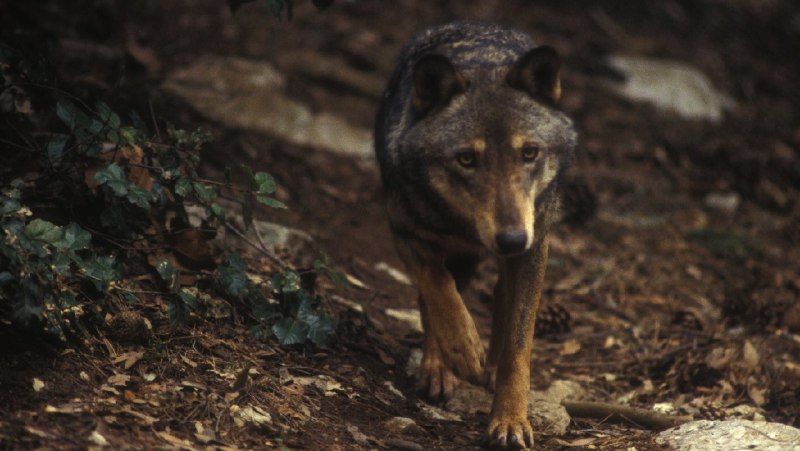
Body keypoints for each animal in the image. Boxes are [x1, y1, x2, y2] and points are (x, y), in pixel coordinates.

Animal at [374, 21, 576, 448]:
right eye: (467, 159)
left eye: (529, 153)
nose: (512, 239)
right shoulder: (403, 229)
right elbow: (438, 289)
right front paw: (462, 349)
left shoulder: (536, 246)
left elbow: (519, 344)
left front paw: (510, 420)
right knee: (432, 296)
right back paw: (439, 368)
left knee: (501, 298)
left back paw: (490, 367)